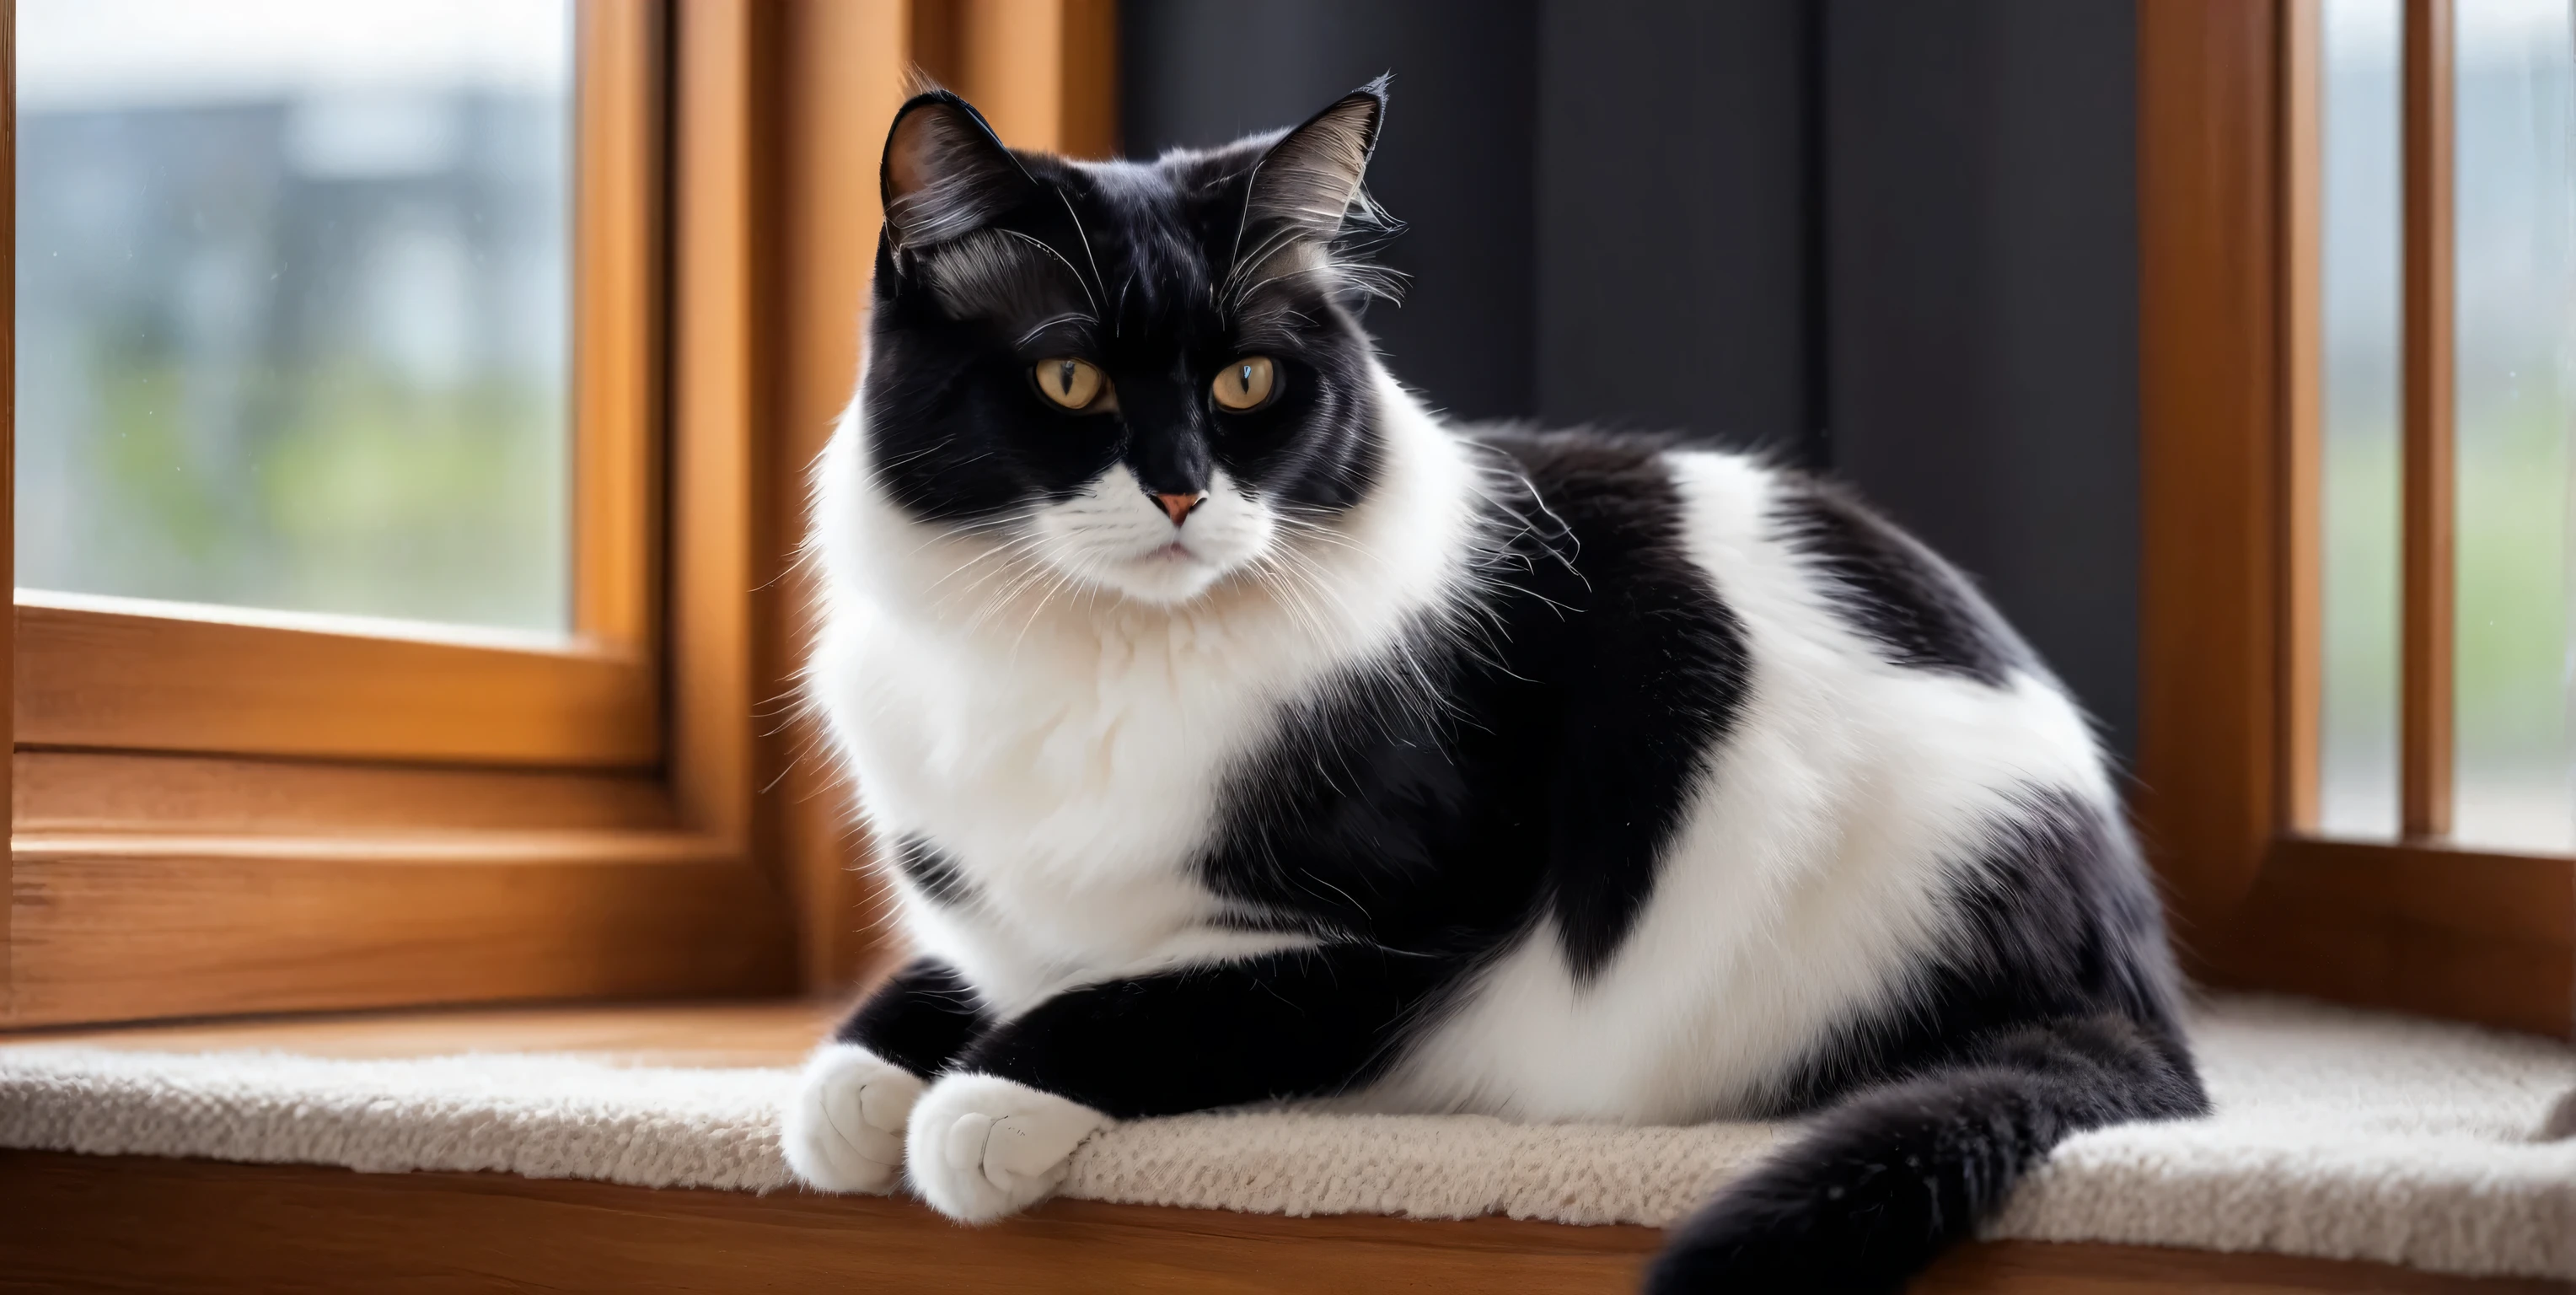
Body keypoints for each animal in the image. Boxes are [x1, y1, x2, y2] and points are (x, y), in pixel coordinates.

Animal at [783, 83, 2215, 1295]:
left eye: (1247, 381)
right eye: (1069, 378)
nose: (1182, 491)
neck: (1106, 656)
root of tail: (2123, 978)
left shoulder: (1411, 932)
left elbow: (1141, 1002)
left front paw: (973, 1109)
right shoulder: (995, 910)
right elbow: (958, 978)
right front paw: (846, 1092)